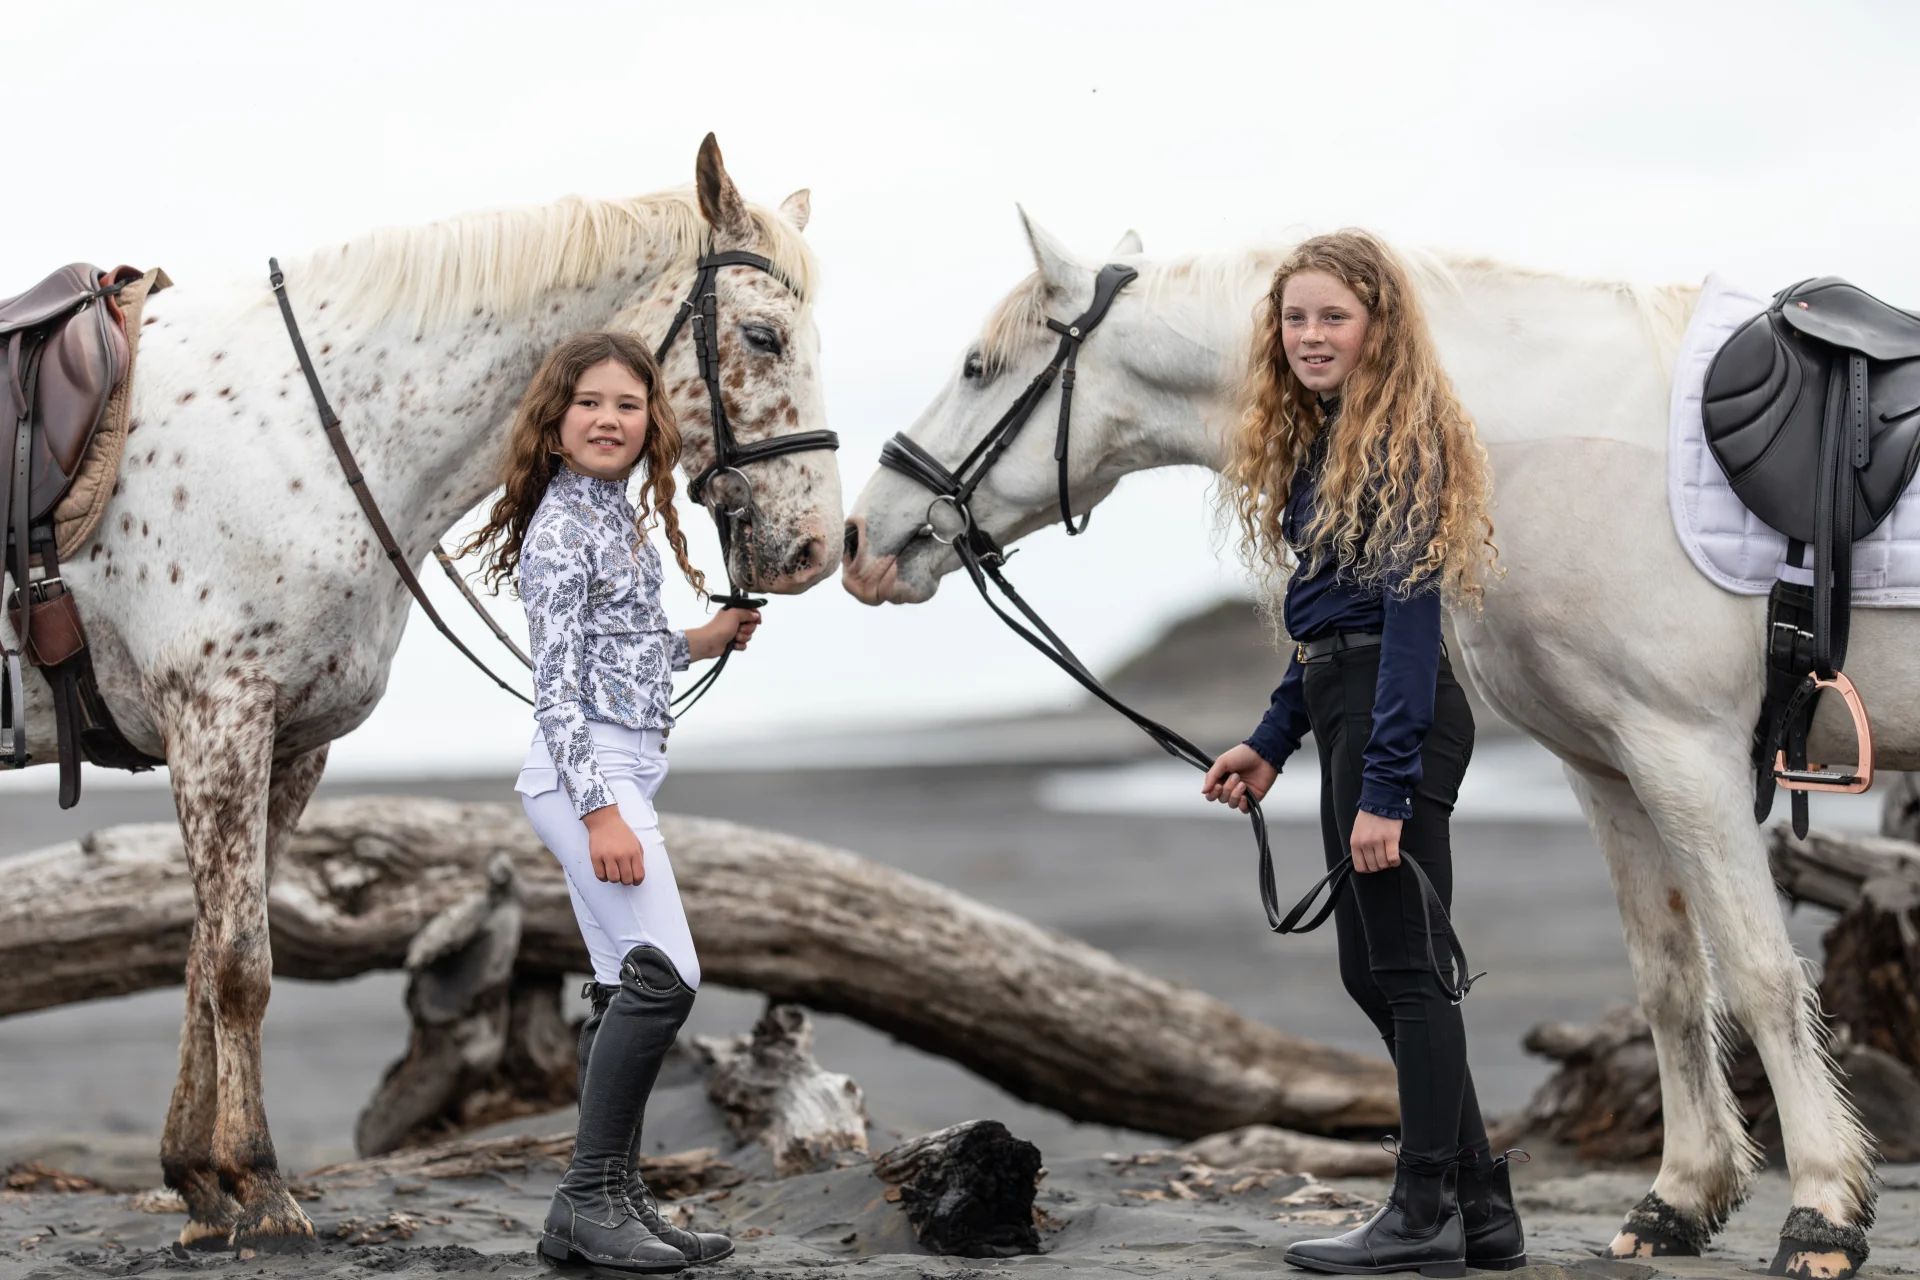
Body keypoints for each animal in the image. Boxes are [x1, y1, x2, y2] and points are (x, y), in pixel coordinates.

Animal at [6, 135, 843, 1253]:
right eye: (762, 333)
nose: (817, 547)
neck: (309, 433)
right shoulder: (218, 719)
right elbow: (240, 964)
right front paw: (260, 1187)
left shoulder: (287, 745)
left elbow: (203, 953)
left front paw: (198, 1180)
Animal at [843, 211, 1911, 1280]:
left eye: (978, 367)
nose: (857, 540)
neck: (1546, 438)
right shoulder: (1611, 768)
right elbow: (1670, 983)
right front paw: (1678, 1202)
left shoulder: (1686, 753)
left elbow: (1765, 980)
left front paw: (1821, 1214)